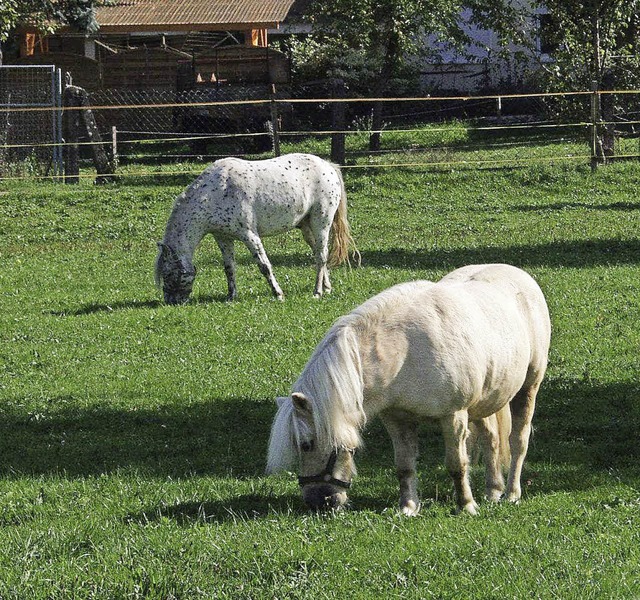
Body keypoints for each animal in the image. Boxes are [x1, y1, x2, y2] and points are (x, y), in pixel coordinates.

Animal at [153, 152, 358, 302]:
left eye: (168, 273)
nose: (172, 302)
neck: (215, 192)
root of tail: (328, 166)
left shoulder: (249, 235)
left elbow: (264, 265)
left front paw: (278, 294)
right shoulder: (223, 238)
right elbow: (229, 267)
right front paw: (231, 296)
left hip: (321, 222)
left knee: (322, 255)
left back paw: (317, 292)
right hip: (307, 227)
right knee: (317, 253)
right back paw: (327, 287)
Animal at [264, 266, 552, 516]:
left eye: (307, 444)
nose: (317, 500)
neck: (404, 352)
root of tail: (519, 274)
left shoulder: (454, 416)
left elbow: (457, 464)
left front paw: (465, 506)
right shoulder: (396, 419)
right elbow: (404, 467)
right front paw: (408, 508)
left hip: (528, 388)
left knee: (518, 441)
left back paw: (511, 493)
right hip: (485, 401)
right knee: (491, 440)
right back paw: (493, 491)